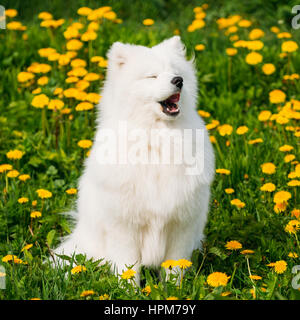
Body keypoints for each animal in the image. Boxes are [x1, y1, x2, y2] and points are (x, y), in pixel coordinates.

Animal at [54, 35, 216, 280]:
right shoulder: (124, 226)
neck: (157, 138)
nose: (178, 81)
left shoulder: (182, 224)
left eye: (176, 72)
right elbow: (127, 267)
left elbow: (174, 267)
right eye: (152, 76)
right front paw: (127, 287)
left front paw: (175, 287)